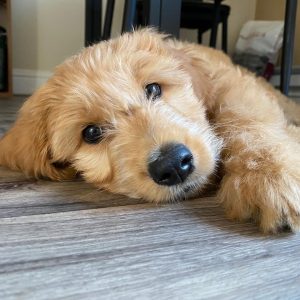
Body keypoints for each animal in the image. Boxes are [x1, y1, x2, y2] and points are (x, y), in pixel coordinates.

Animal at [0, 29, 300, 232]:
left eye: (154, 88)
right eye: (91, 133)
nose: (173, 164)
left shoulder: (232, 84)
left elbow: (246, 115)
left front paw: (268, 175)